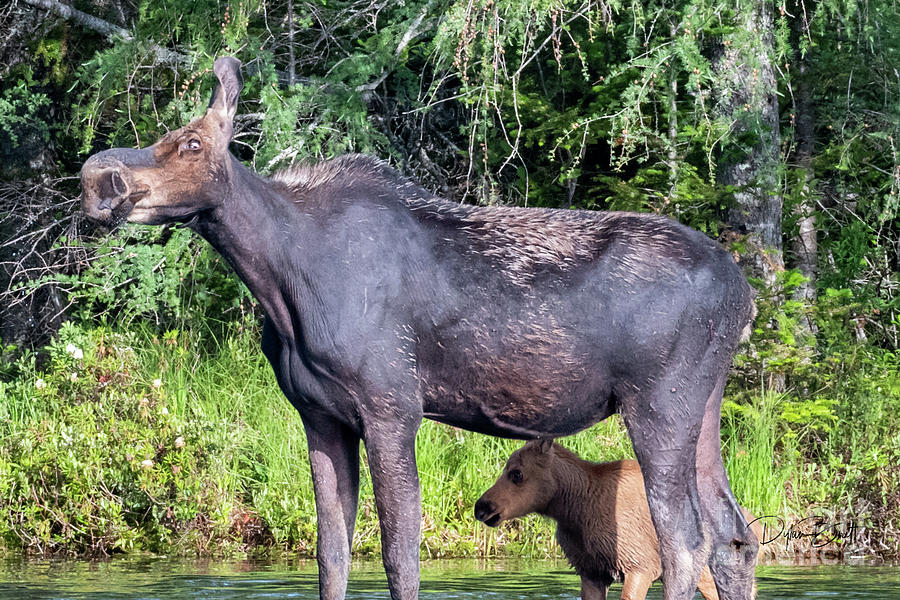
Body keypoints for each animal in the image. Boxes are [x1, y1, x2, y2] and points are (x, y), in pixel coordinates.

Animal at [474, 438, 764, 596]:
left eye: (517, 473)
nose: (481, 507)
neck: (574, 513)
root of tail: (758, 524)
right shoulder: (591, 571)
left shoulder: (640, 565)